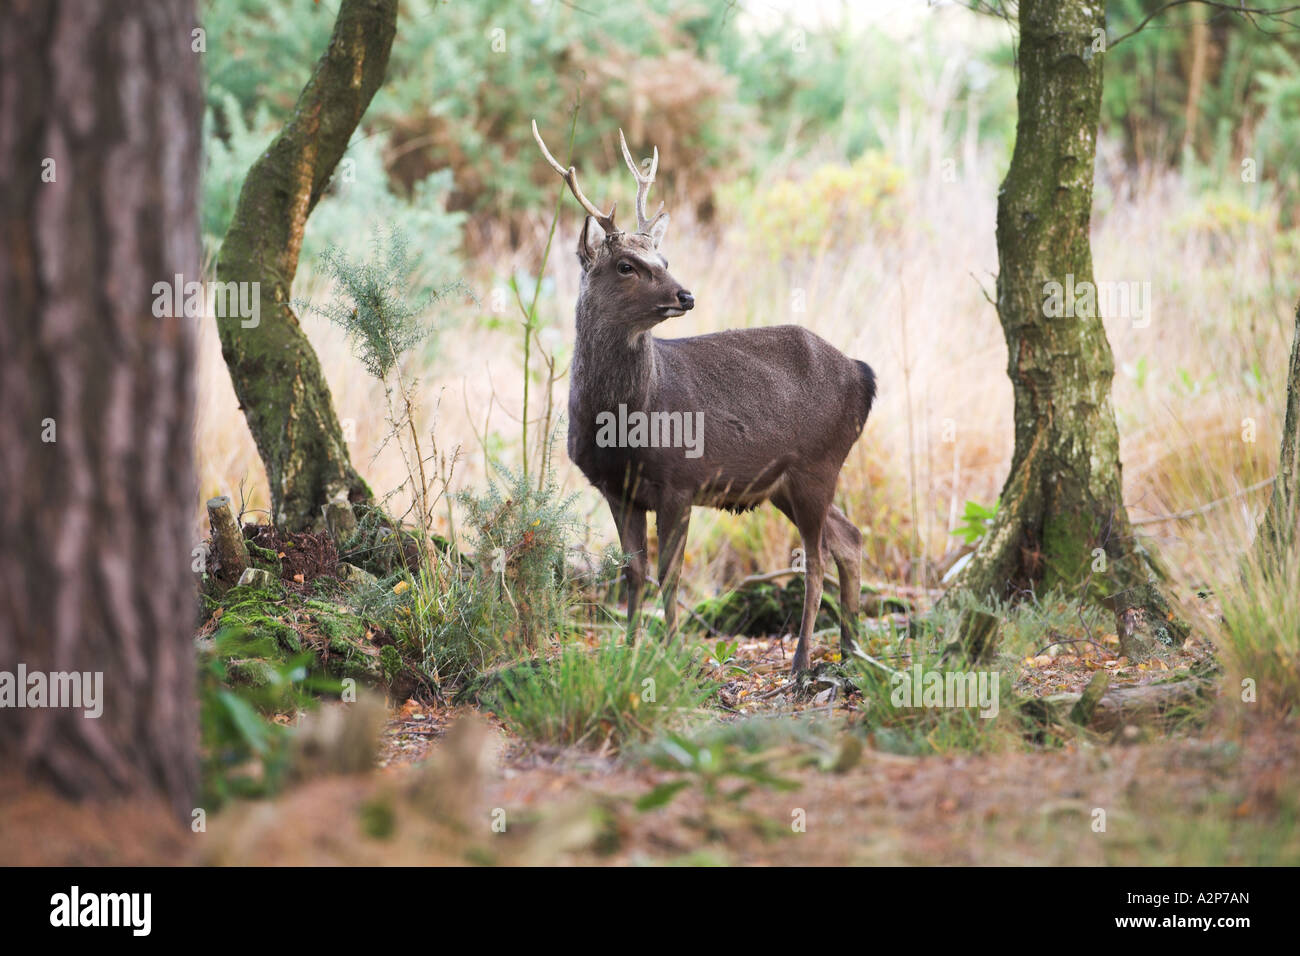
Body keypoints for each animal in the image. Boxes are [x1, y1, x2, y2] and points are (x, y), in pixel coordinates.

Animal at [532, 119, 876, 674]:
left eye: (664, 258)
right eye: (627, 265)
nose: (686, 295)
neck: (629, 417)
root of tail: (864, 375)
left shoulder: (680, 480)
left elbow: (669, 574)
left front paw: (671, 655)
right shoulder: (615, 488)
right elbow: (633, 573)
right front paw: (629, 658)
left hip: (819, 462)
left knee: (816, 559)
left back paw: (803, 662)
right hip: (784, 481)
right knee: (850, 538)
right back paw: (848, 648)